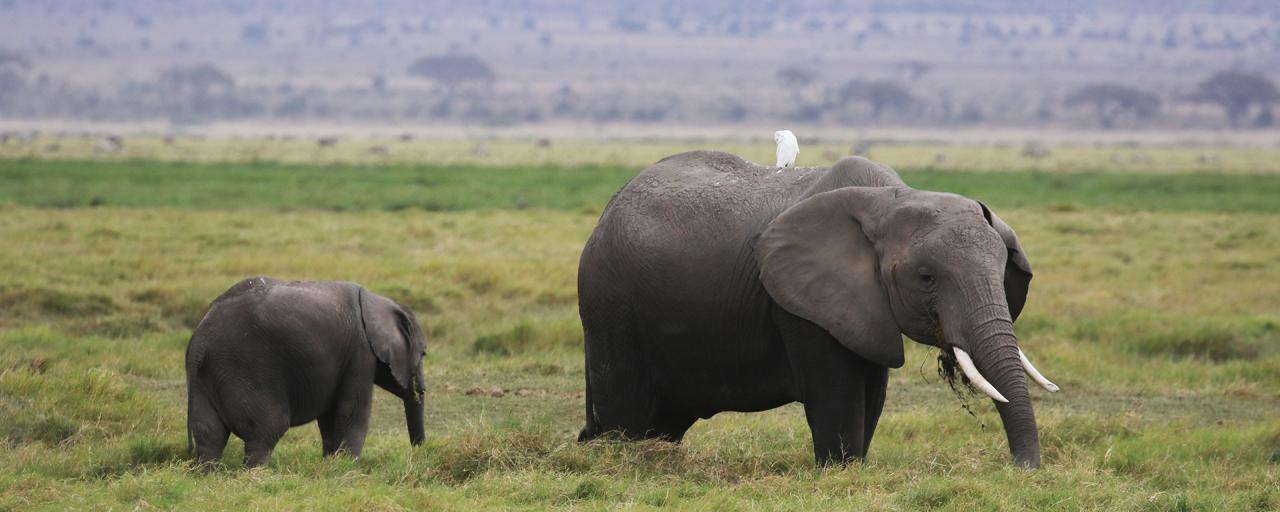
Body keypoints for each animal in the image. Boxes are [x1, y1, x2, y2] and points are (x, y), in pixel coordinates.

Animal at [185, 277, 427, 471]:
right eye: (423, 354)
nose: (419, 452)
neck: (377, 301)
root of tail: (199, 338)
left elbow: (330, 417)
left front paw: (332, 464)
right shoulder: (360, 351)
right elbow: (351, 411)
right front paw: (349, 470)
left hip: (209, 374)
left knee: (209, 436)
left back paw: (206, 475)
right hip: (246, 368)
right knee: (266, 431)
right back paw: (256, 475)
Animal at [581, 149, 1059, 465]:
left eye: (1002, 271)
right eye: (926, 278)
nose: (1021, 468)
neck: (893, 197)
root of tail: (606, 212)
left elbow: (872, 394)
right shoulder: (802, 305)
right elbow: (838, 395)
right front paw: (839, 470)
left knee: (664, 421)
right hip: (610, 306)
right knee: (627, 413)